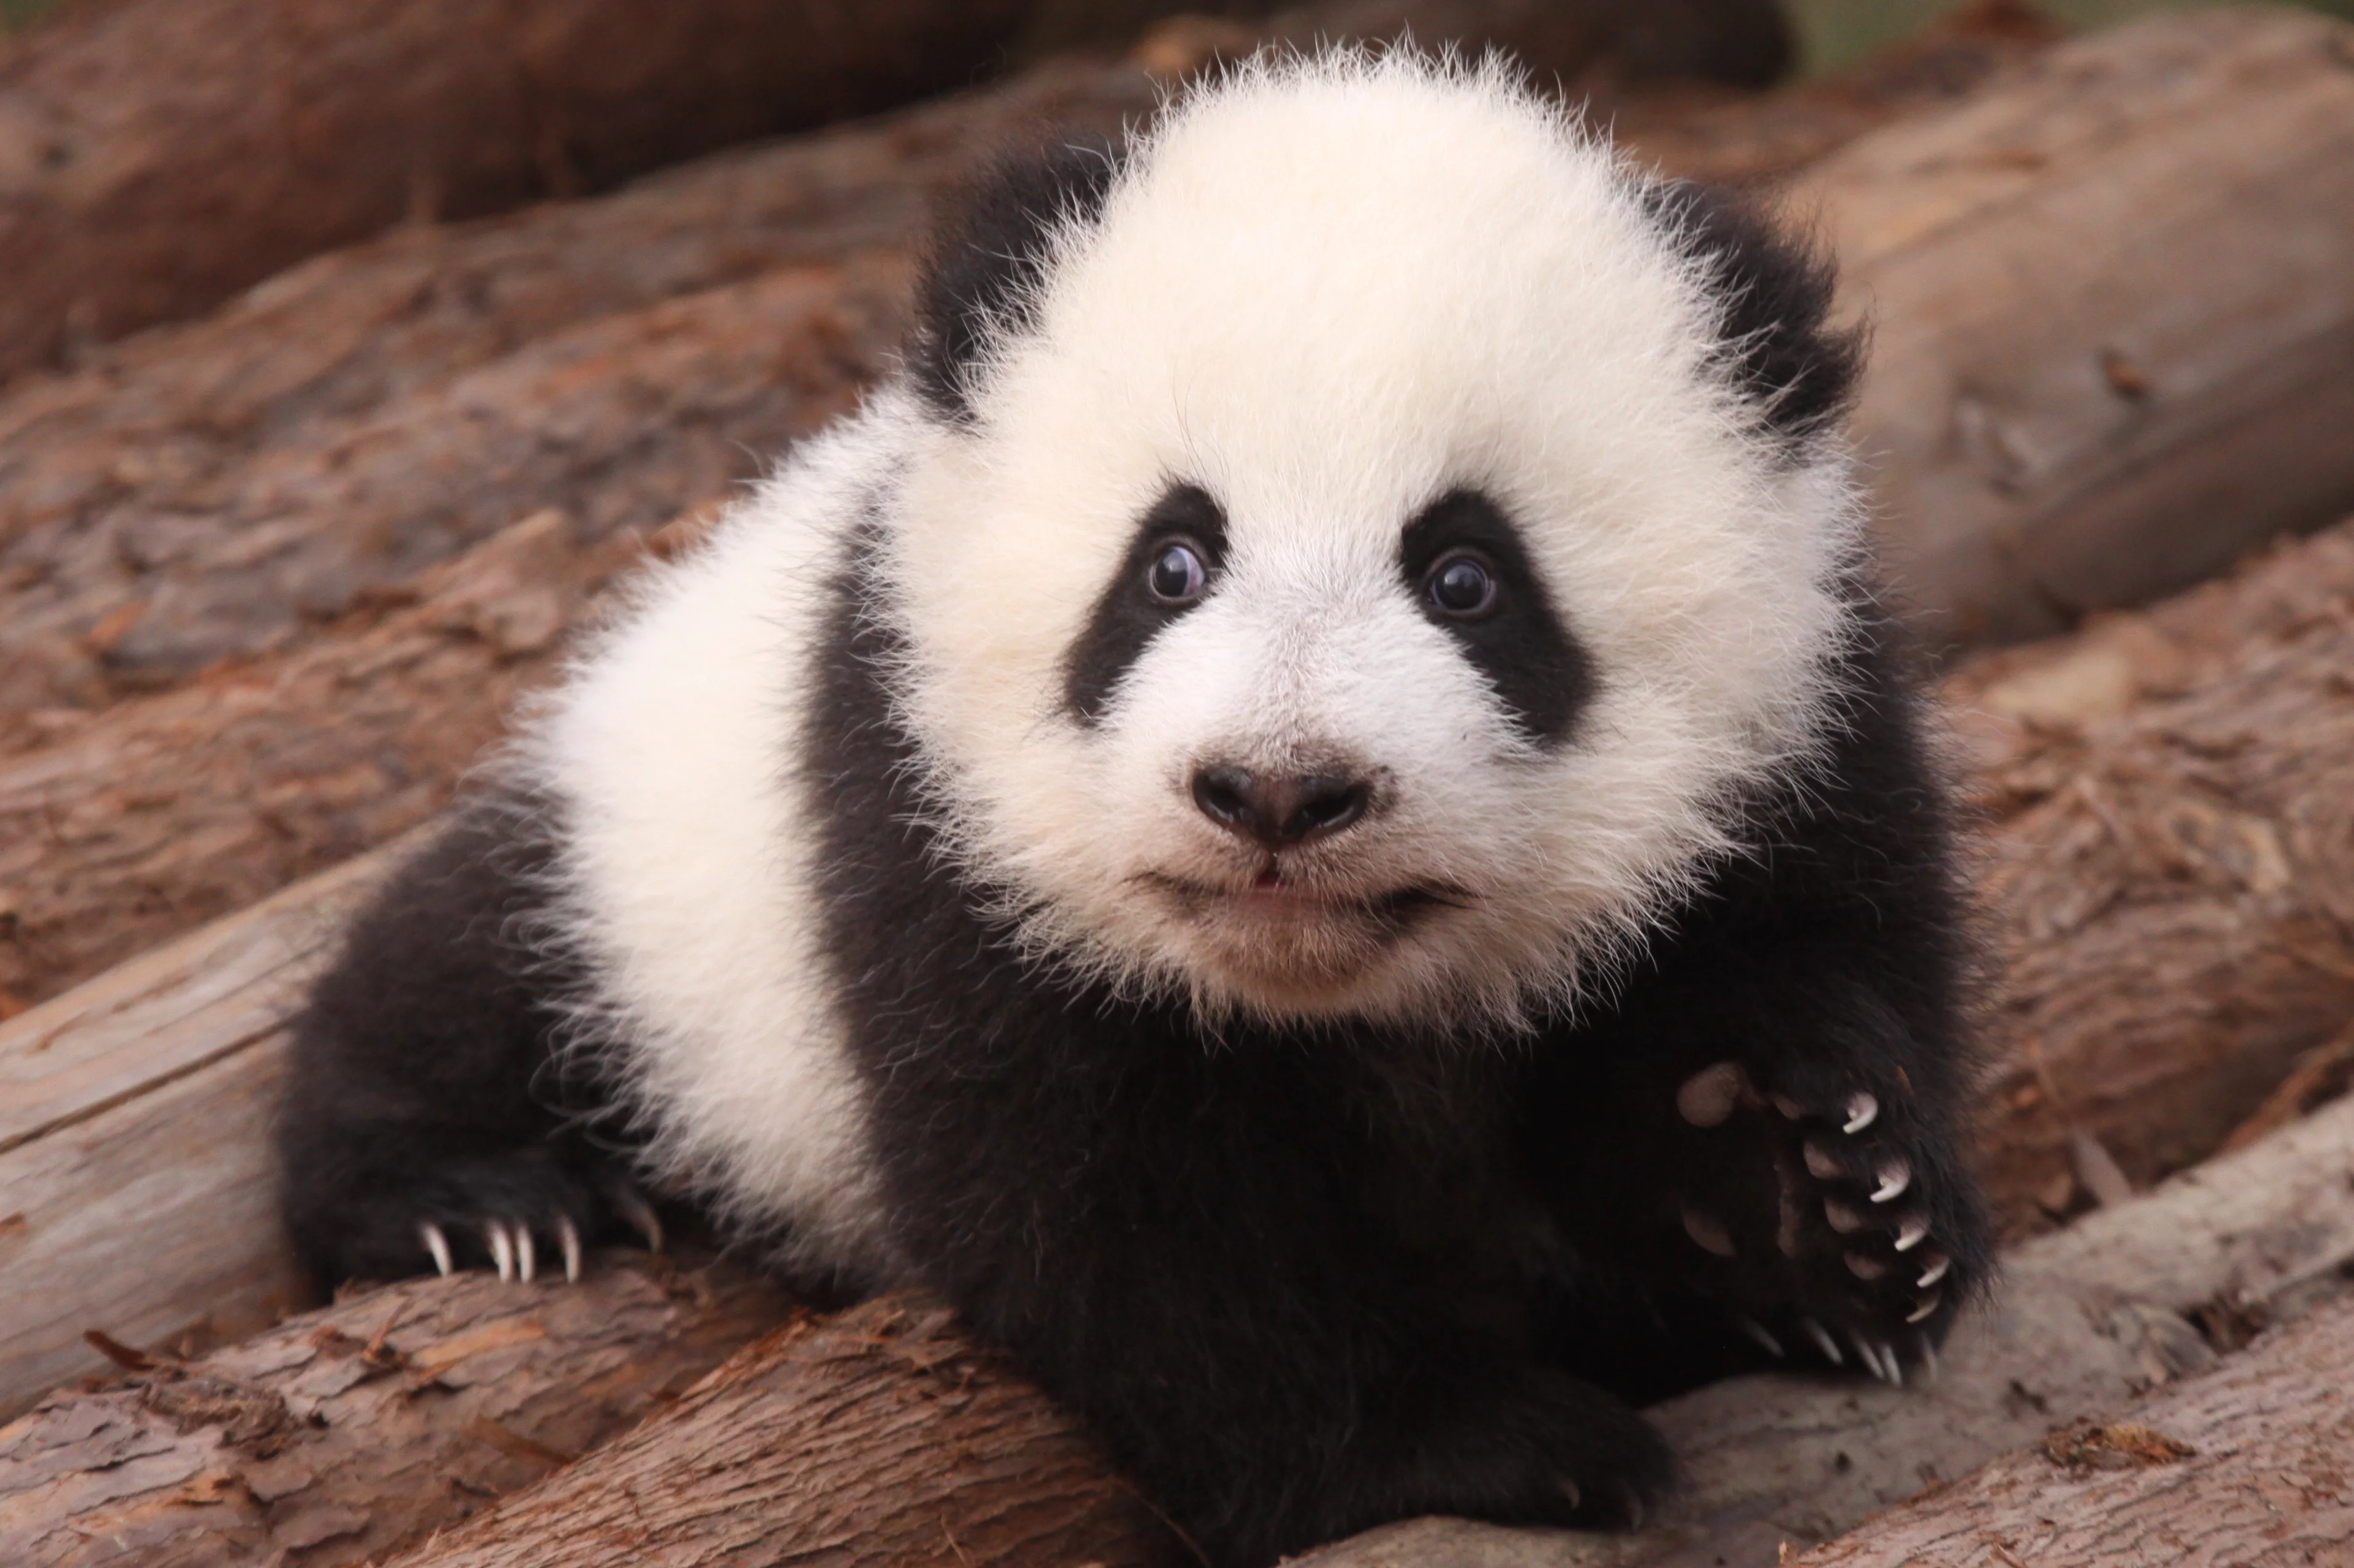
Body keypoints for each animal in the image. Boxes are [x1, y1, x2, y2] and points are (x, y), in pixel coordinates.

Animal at [279, 48, 1989, 1567]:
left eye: (1468, 578)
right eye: (1171, 561)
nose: (1278, 789)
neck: (1327, 998)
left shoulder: (1798, 730)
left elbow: (1810, 944)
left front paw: (1807, 1188)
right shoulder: (920, 799)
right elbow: (1110, 1217)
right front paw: (1498, 1440)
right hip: (642, 838)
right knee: (469, 958)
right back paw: (477, 1199)